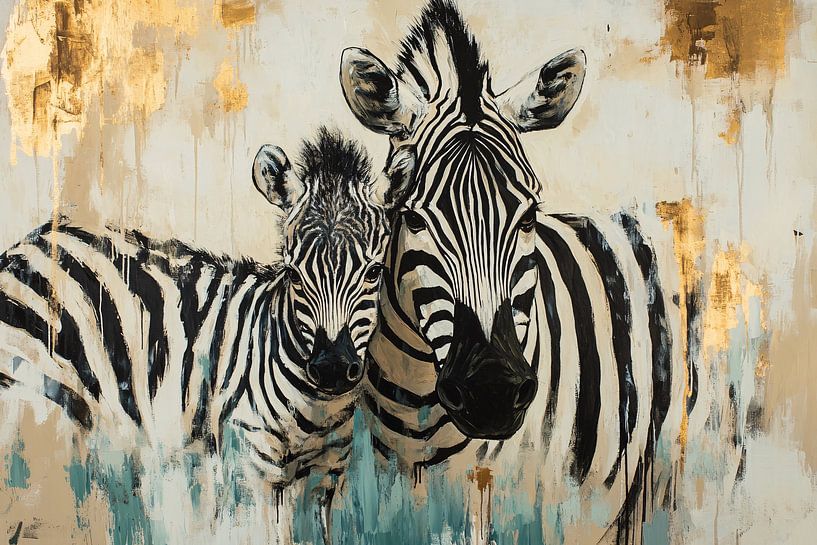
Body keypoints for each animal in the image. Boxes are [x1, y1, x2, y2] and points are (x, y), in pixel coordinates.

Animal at [0, 127, 390, 542]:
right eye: (293, 273)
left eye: (374, 272)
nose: (333, 368)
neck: (318, 408)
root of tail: (29, 242)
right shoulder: (254, 463)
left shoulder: (325, 476)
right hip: (34, 396)